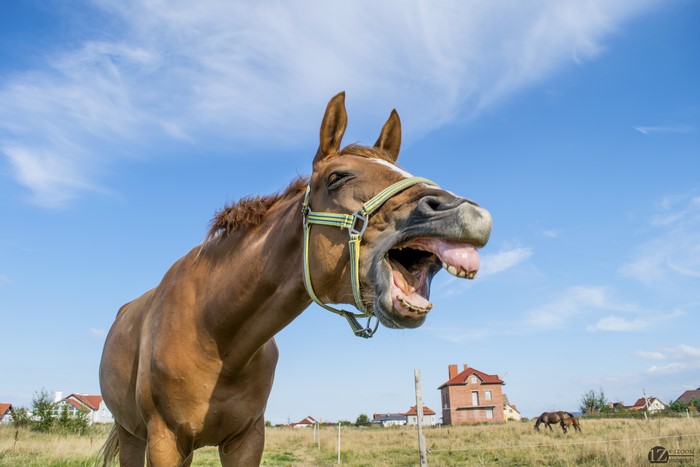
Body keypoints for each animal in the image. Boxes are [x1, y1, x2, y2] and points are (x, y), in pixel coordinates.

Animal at [99, 92, 492, 466]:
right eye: (337, 177)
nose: (468, 214)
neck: (215, 334)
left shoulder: (246, 440)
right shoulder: (165, 441)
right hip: (133, 436)